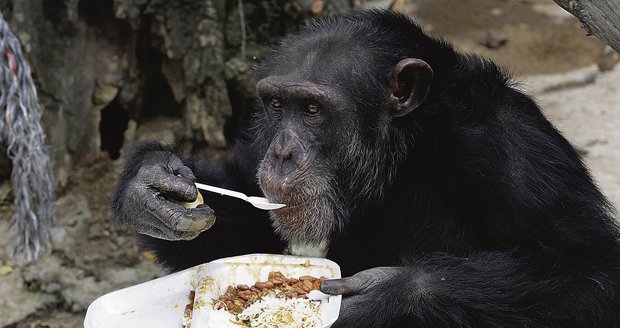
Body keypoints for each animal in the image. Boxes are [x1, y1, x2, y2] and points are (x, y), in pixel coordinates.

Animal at [111, 9, 620, 326]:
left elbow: (590, 277)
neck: (405, 146)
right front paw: (150, 184)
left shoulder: (515, 151)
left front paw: (388, 295)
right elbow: (250, 233)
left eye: (312, 110)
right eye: (276, 105)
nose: (281, 153)